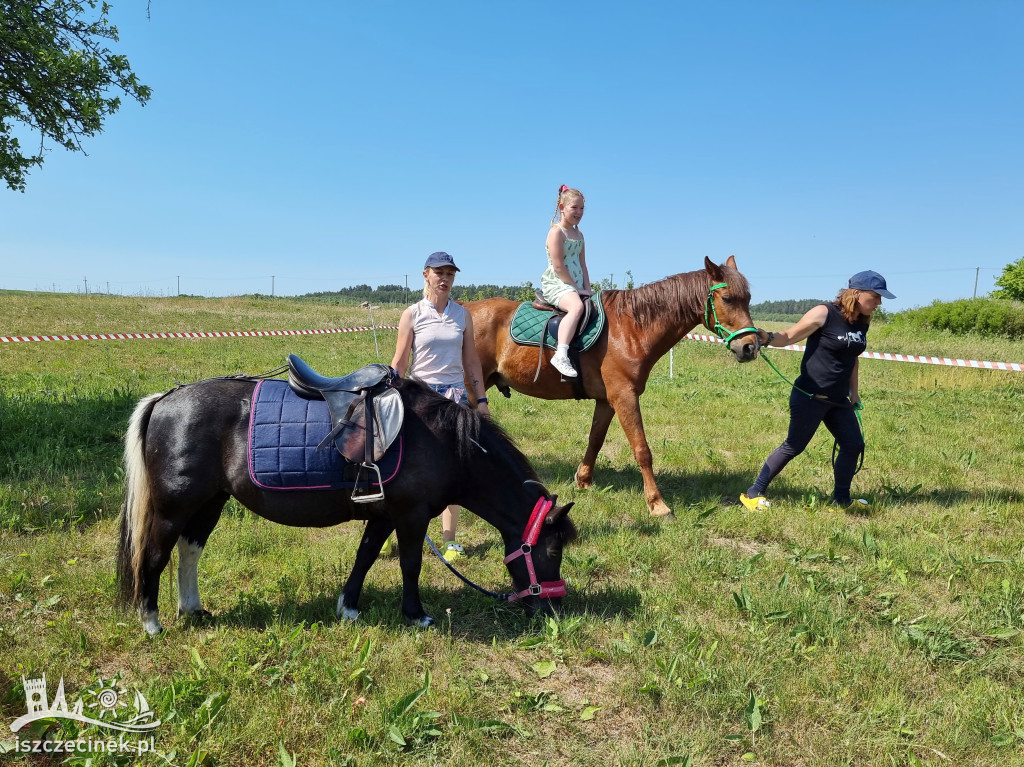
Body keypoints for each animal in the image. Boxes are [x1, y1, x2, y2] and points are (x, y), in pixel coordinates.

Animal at [466, 256, 761, 514]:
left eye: (748, 299)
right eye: (727, 298)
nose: (750, 347)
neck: (630, 328)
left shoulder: (607, 401)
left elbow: (595, 440)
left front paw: (583, 481)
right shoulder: (624, 397)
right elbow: (642, 450)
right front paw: (657, 504)